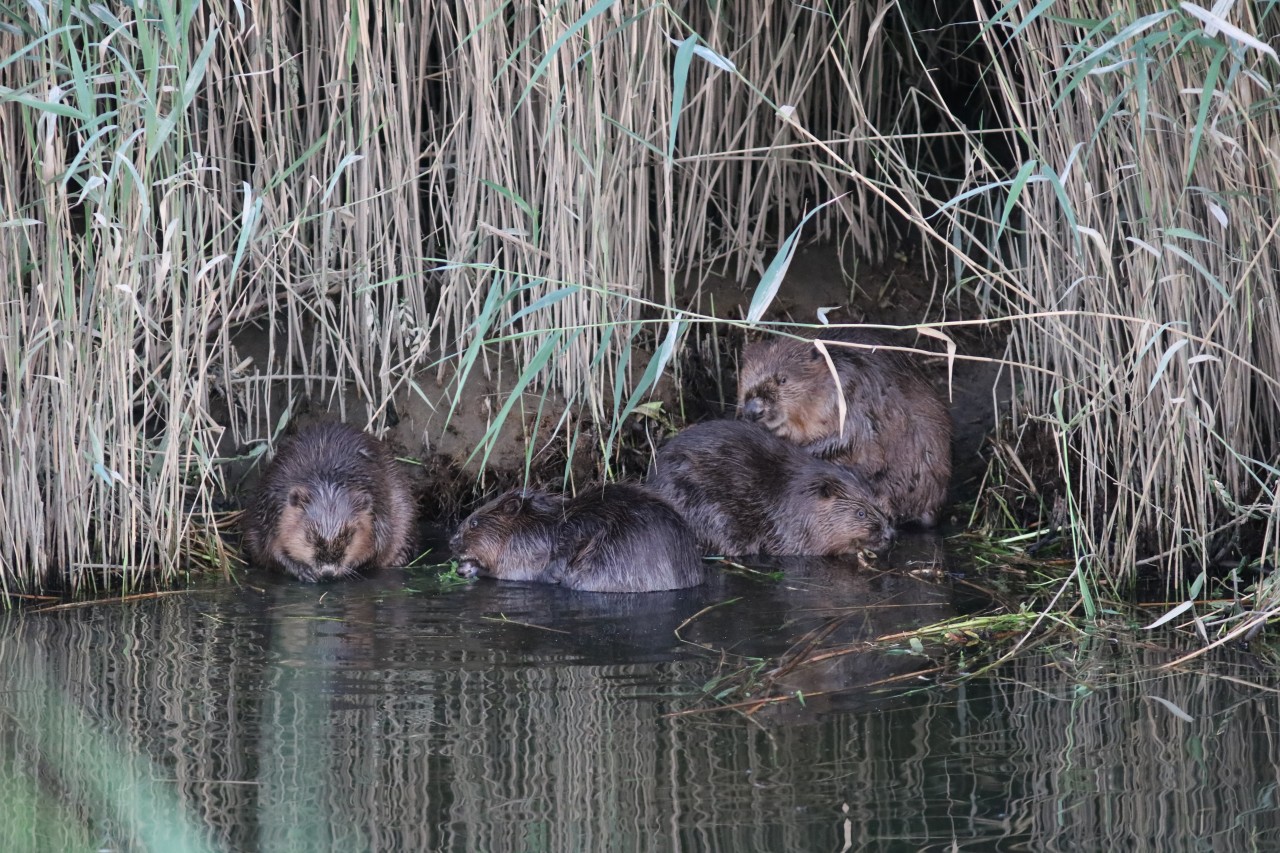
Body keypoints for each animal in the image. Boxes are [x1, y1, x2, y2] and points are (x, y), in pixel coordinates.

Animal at [241, 422, 417, 581]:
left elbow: (378, 547)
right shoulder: (270, 508)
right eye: (310, 536)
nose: (328, 571)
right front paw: (304, 571)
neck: (328, 485)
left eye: (349, 536)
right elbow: (269, 549)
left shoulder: (380, 509)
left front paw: (350, 567)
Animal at [450, 481, 706, 589]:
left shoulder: (525, 550)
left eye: (474, 522)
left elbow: (515, 573)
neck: (541, 527)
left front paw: (467, 568)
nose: (452, 542)